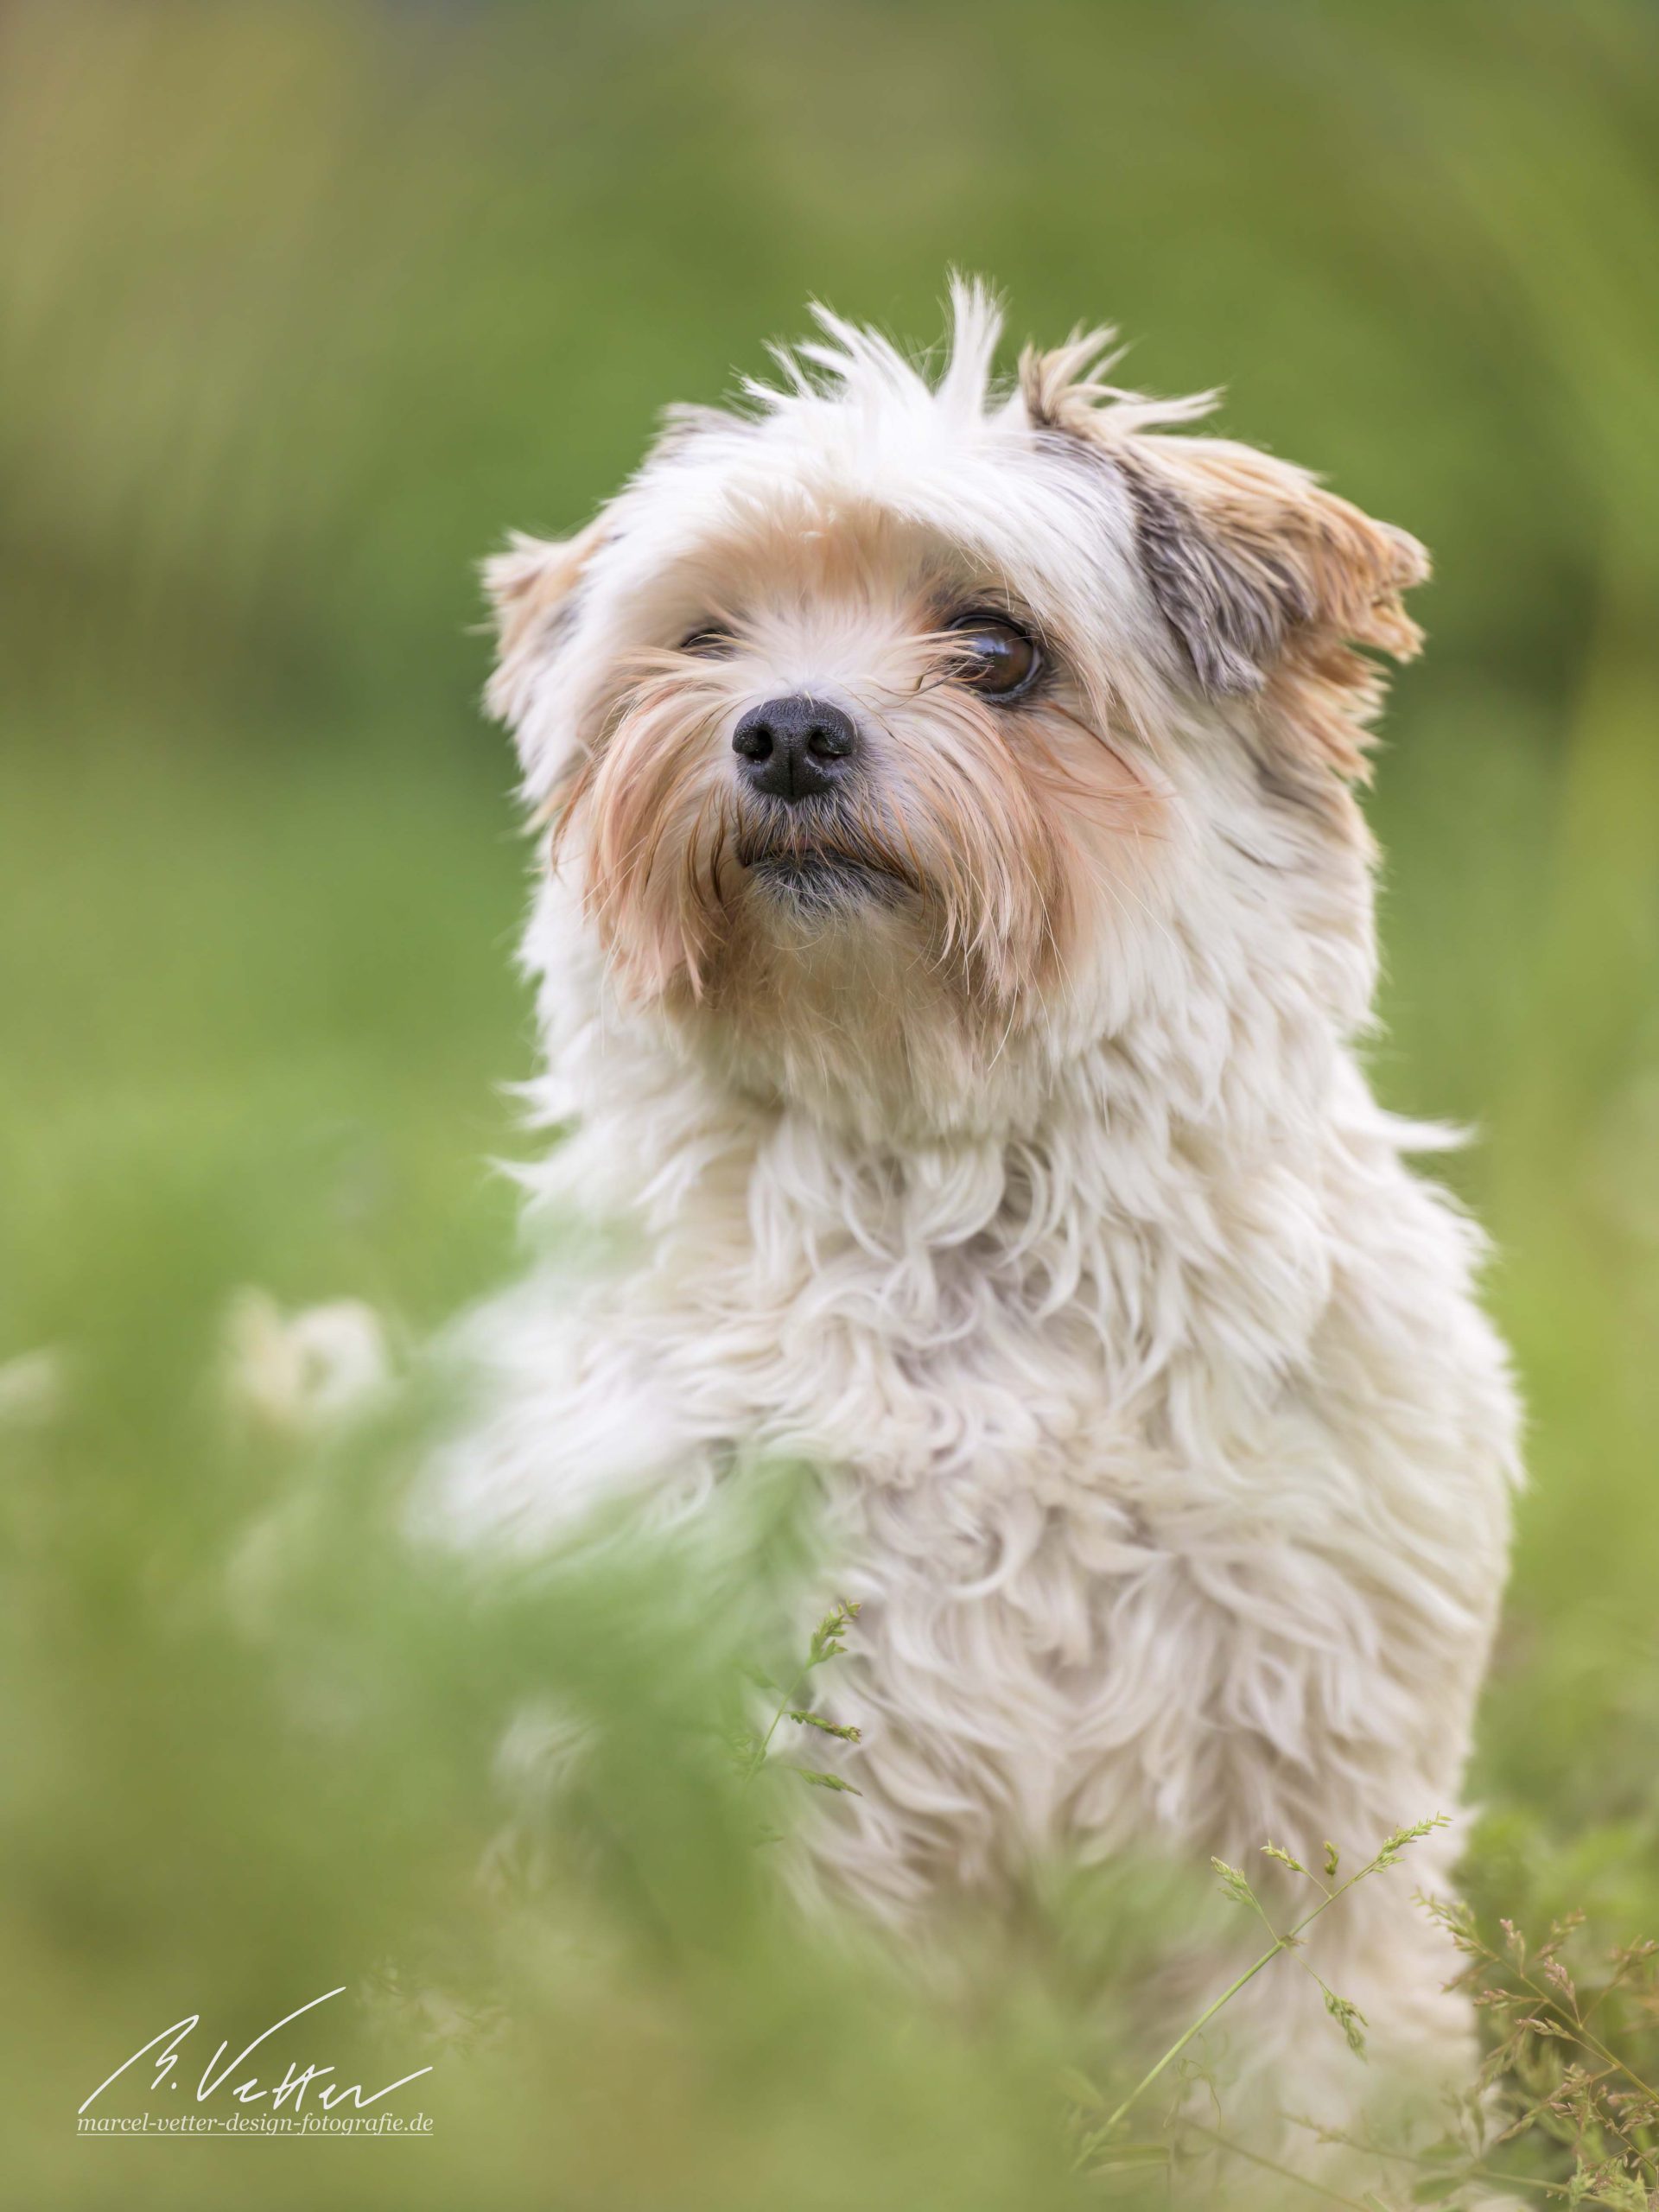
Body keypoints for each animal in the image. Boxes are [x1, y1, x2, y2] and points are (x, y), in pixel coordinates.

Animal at [435, 281, 1530, 2158]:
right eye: (705, 639)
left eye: (999, 649)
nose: (785, 728)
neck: (967, 1213)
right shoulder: (793, 1761)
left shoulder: (1307, 1758)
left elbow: (1312, 2052)